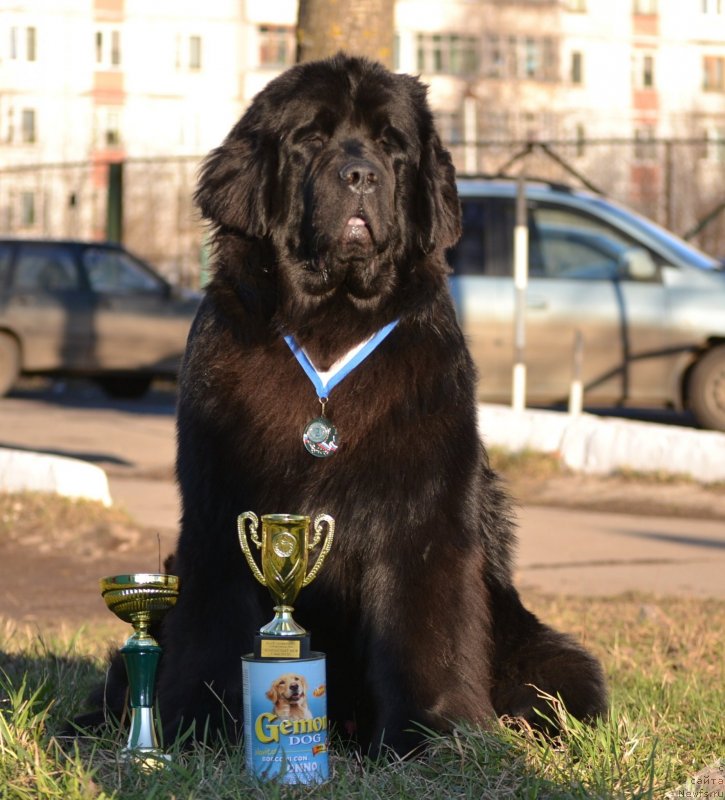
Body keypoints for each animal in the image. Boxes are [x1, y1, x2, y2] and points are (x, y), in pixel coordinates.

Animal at [86, 51, 604, 756]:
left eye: (392, 145)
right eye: (310, 139)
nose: (361, 174)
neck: (329, 325)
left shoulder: (420, 518)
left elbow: (423, 632)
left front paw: (433, 730)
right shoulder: (221, 514)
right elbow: (211, 630)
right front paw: (198, 725)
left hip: (549, 653)